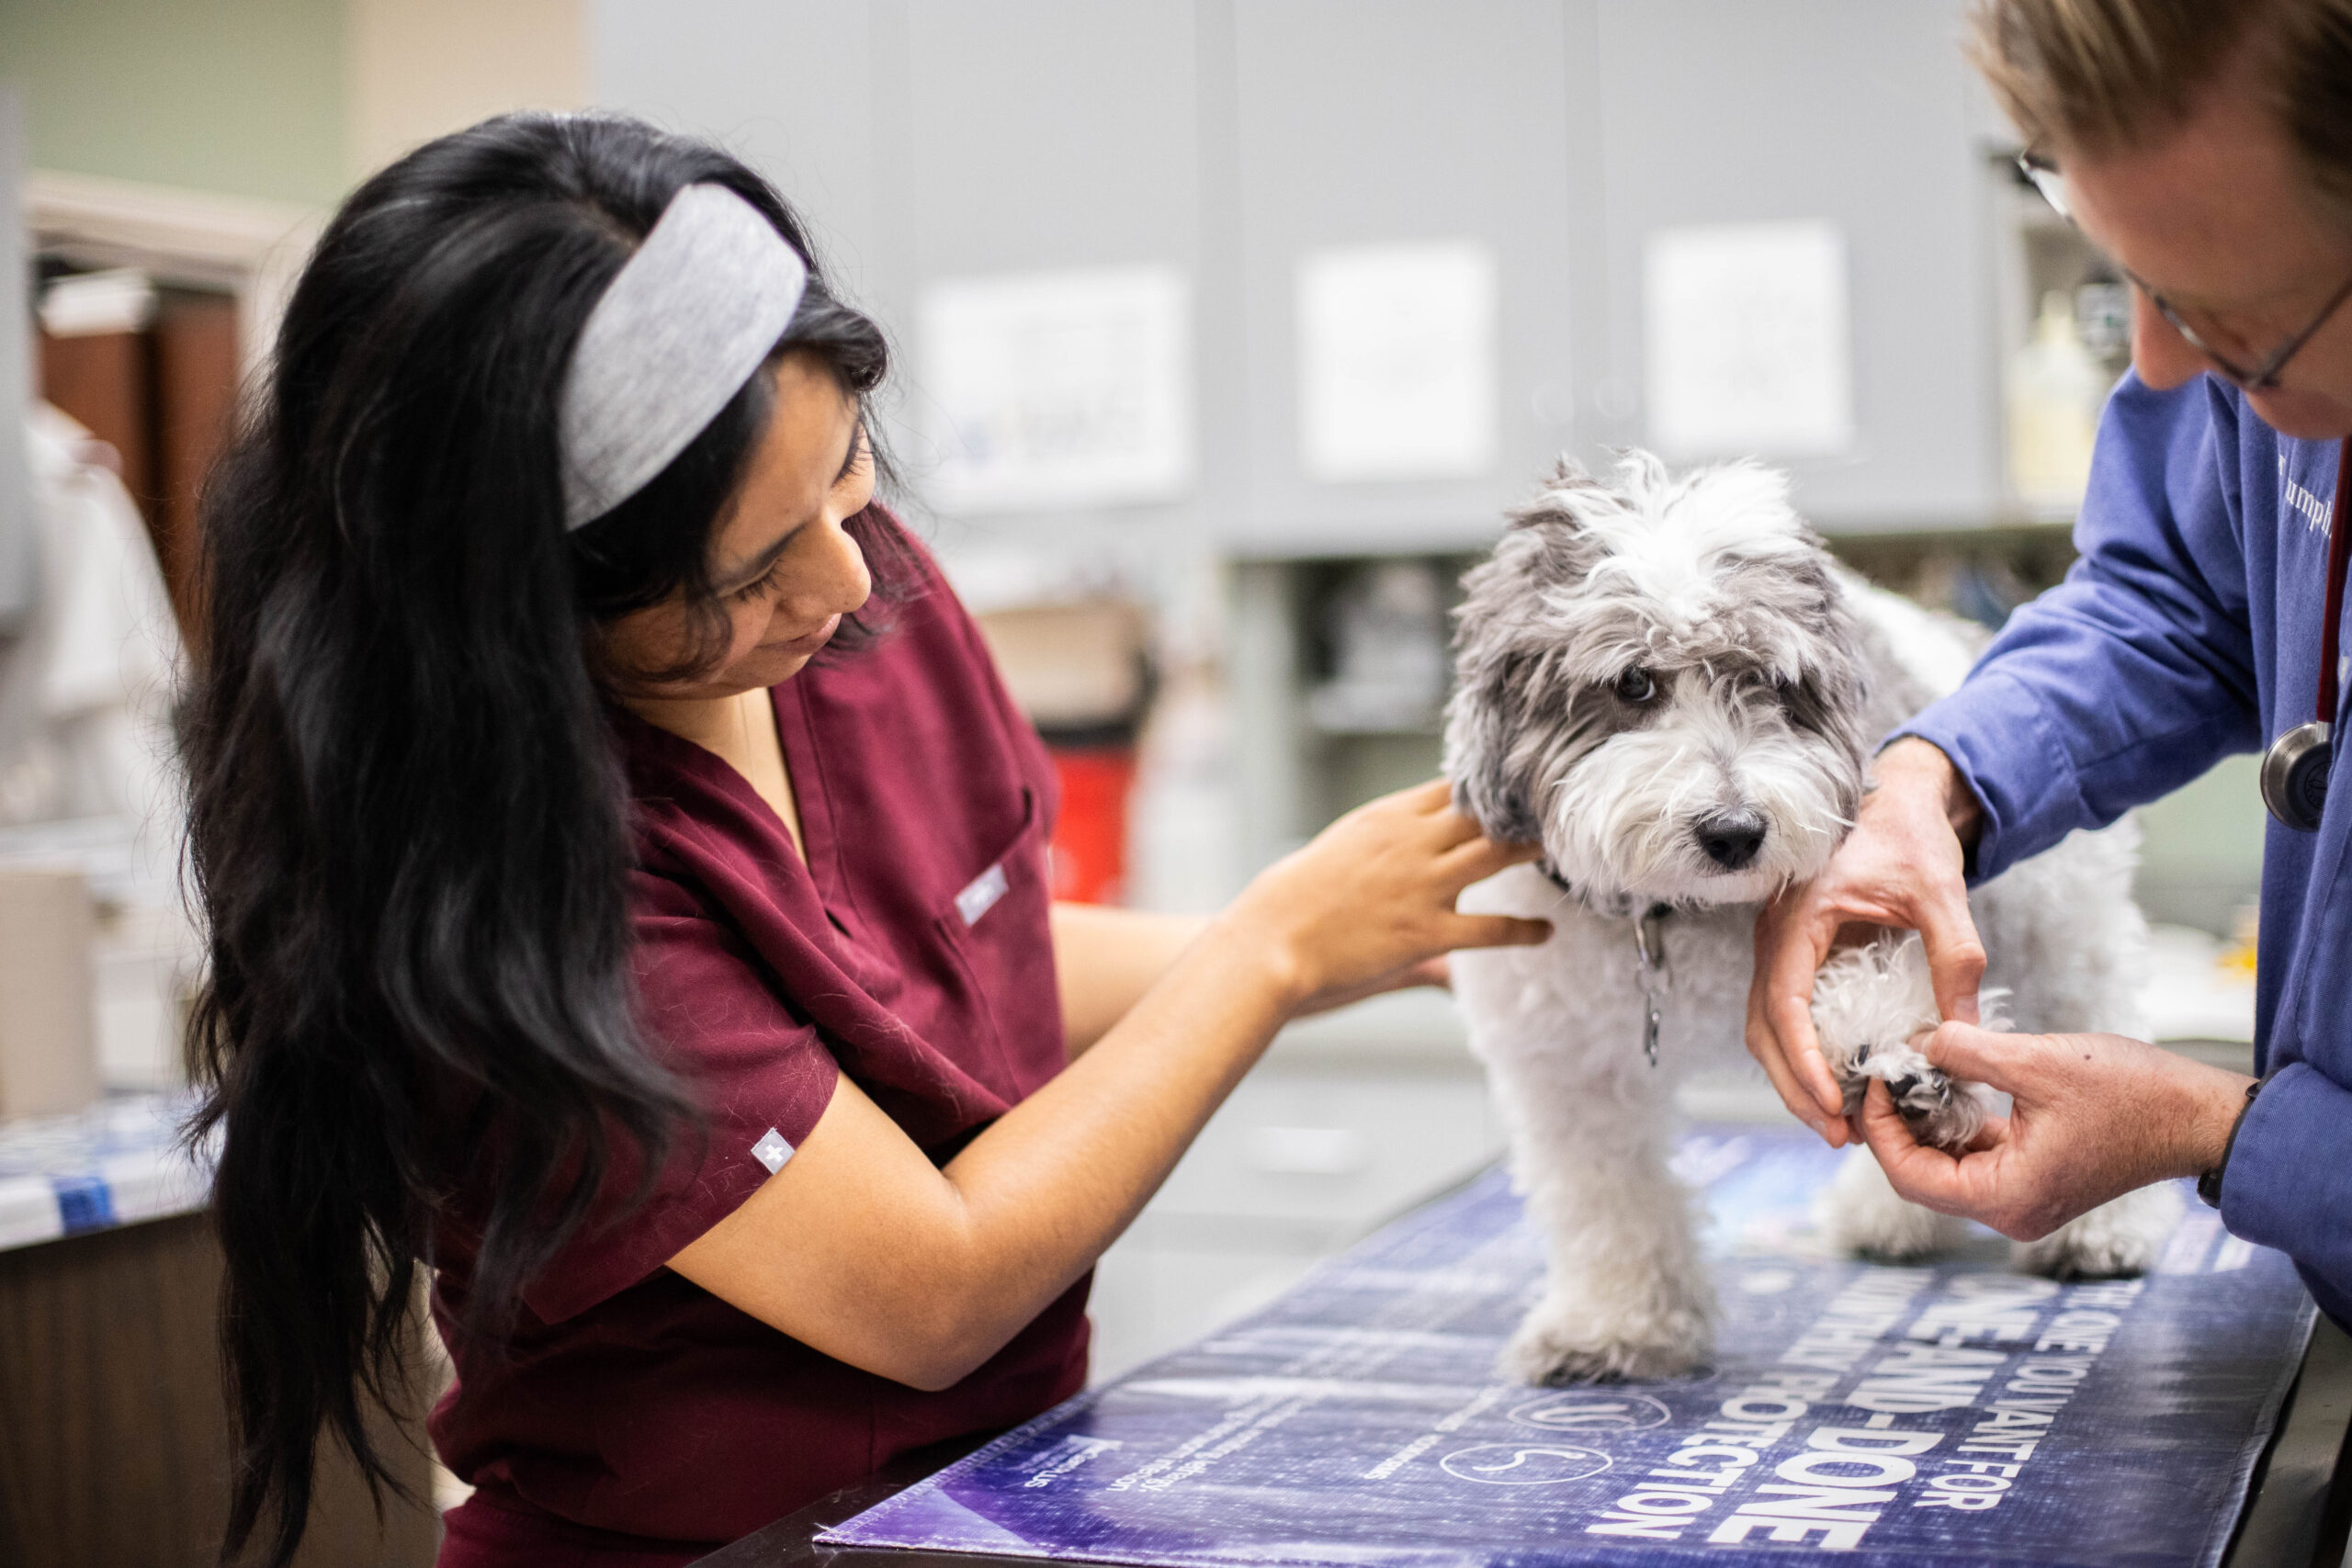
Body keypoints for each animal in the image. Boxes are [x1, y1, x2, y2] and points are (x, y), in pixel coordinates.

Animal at [1448, 453, 2182, 1382]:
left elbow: (1883, 983)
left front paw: (1898, 1045)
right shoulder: (1569, 1070)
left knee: (2093, 1010)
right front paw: (1618, 1323)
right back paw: (1891, 1214)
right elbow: (1606, 1195)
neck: (1679, 915)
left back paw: (2098, 1226)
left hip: (2060, 926)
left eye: (1770, 681)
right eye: (1633, 681)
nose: (1734, 831)